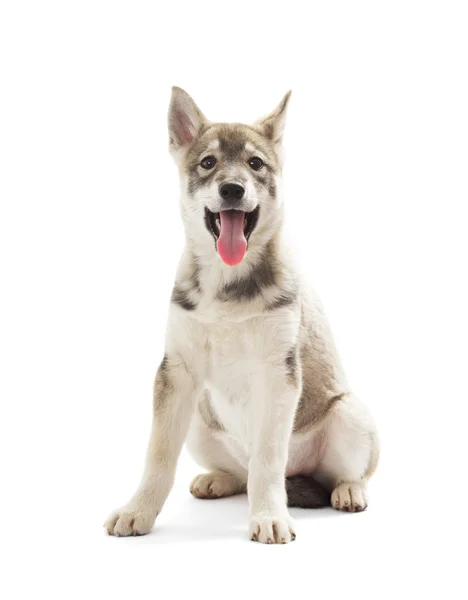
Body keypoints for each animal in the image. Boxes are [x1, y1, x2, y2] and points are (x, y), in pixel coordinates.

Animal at [104, 88, 378, 544]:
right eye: (208, 163)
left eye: (255, 164)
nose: (232, 190)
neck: (226, 281)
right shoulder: (176, 371)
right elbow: (158, 455)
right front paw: (137, 510)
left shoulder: (278, 373)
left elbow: (268, 460)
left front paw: (269, 516)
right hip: (200, 420)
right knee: (241, 471)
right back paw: (218, 479)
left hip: (350, 415)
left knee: (335, 473)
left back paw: (348, 490)